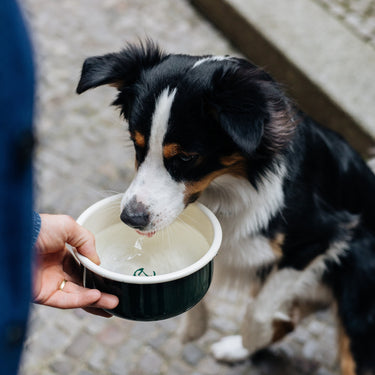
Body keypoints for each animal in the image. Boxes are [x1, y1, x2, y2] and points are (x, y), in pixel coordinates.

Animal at [76, 41, 375, 375]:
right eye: (136, 144)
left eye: (186, 157)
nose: (130, 218)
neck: (234, 184)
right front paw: (195, 327)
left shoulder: (320, 236)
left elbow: (258, 311)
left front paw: (253, 335)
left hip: (358, 308)